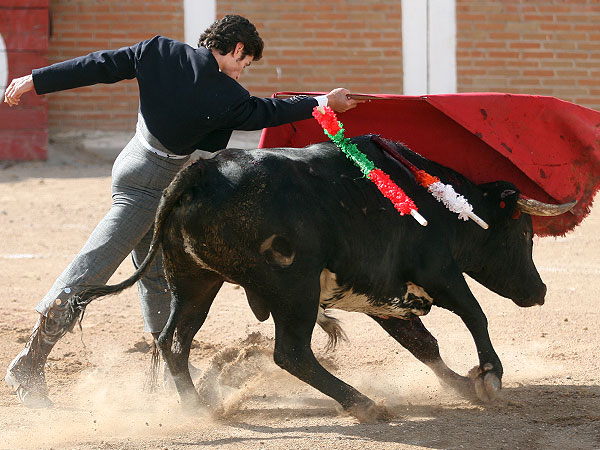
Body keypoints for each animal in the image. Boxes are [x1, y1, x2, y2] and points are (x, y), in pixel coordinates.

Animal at [78, 135, 548, 424]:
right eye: (524, 234)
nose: (540, 291)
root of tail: (201, 172)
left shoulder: (382, 297)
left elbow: (422, 344)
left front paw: (464, 386)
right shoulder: (438, 272)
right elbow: (475, 314)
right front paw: (490, 377)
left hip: (195, 282)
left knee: (174, 340)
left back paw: (198, 408)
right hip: (294, 288)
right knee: (291, 353)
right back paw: (363, 404)